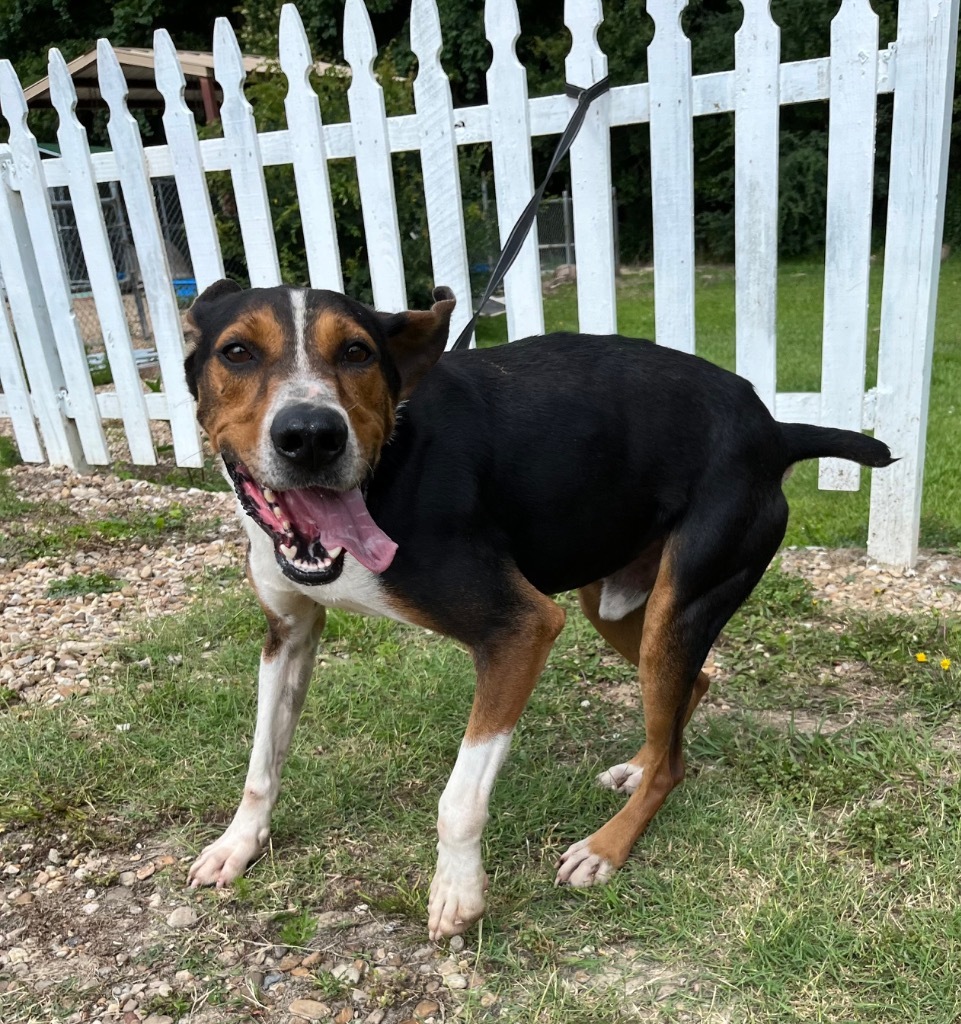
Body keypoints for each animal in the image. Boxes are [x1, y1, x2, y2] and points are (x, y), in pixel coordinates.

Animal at [180, 280, 893, 937]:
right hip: (617, 603)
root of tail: (776, 430)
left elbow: (459, 798)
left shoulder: (520, 630)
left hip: (679, 604)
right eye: (237, 352)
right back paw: (640, 763)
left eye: (357, 352)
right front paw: (237, 845)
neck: (385, 465)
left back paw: (605, 848)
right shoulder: (289, 632)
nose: (311, 436)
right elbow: (261, 762)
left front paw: (458, 892)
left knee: (676, 763)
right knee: (693, 693)